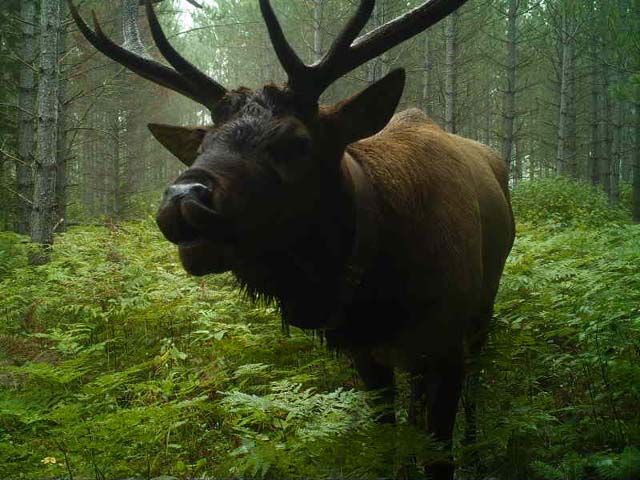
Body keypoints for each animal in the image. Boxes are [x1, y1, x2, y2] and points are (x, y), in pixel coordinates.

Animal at [68, 0, 515, 478]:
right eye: (203, 143)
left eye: (295, 142)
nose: (184, 199)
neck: (381, 289)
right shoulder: (367, 354)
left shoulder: (447, 346)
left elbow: (440, 454)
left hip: (483, 309)